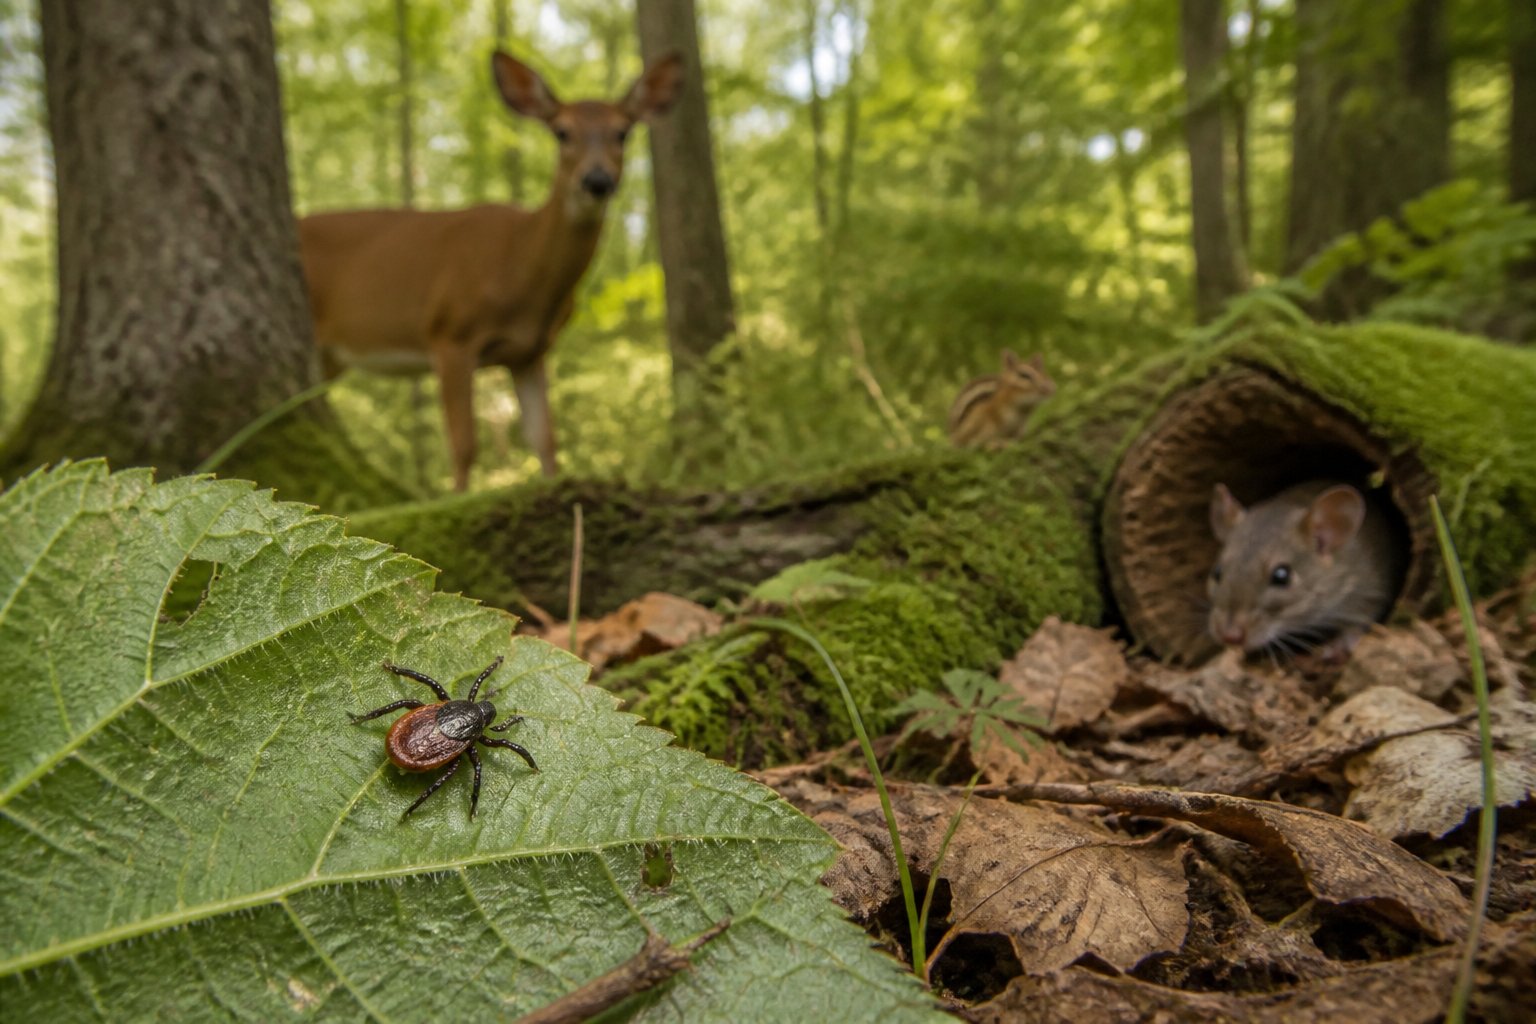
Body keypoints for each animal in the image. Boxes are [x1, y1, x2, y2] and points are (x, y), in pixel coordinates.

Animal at [298, 51, 685, 491]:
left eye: (622, 131)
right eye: (561, 132)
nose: (597, 180)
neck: (520, 270)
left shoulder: (530, 351)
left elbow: (545, 439)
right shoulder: (449, 333)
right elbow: (464, 445)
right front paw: (456, 498)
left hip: (330, 356)